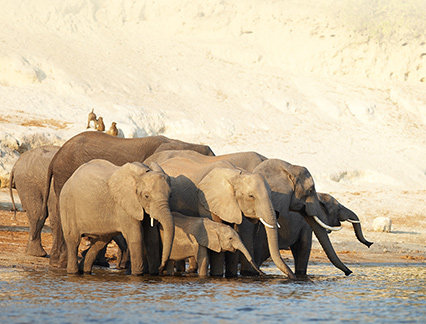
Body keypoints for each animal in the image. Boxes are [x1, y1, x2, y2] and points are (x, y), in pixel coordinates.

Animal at [145, 156, 294, 280]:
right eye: (251, 196)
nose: (292, 277)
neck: (235, 175)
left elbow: (236, 230)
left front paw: (231, 276)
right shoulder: (206, 200)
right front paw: (216, 276)